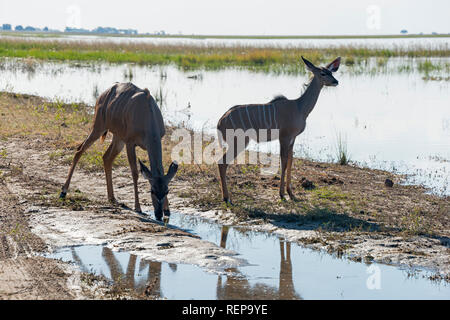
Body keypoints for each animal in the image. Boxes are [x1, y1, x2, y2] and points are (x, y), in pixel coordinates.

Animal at [59, 82, 178, 221]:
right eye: (152, 190)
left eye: (166, 191)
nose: (158, 215)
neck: (147, 116)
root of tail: (102, 95)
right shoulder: (130, 143)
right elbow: (134, 173)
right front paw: (138, 208)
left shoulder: (155, 139)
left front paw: (167, 210)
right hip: (98, 127)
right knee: (79, 150)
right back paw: (63, 191)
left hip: (117, 138)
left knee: (106, 157)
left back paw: (112, 198)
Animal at [218, 57, 342, 202]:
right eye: (323, 73)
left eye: (331, 72)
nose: (336, 81)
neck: (299, 107)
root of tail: (221, 121)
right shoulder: (284, 137)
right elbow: (283, 162)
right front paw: (282, 194)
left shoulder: (292, 139)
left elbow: (290, 161)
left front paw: (291, 193)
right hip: (239, 141)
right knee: (222, 163)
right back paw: (227, 198)